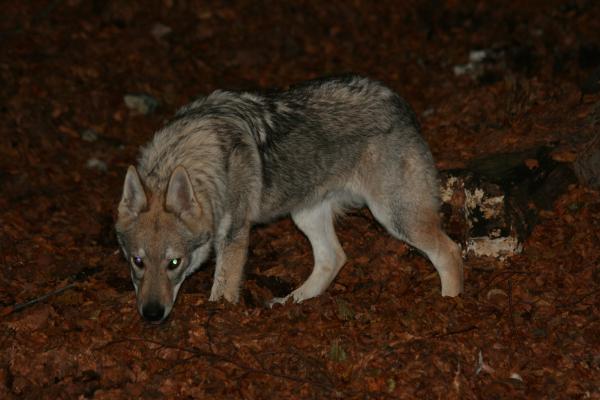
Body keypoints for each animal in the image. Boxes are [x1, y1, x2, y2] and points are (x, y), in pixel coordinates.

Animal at [117, 76, 464, 324]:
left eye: (174, 263)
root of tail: (398, 102)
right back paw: (291, 302)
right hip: (306, 214)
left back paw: (450, 304)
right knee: (334, 258)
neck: (194, 158)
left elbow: (223, 287)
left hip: (394, 216)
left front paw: (219, 315)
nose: (151, 314)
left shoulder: (234, 235)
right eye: (137, 261)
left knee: (449, 251)